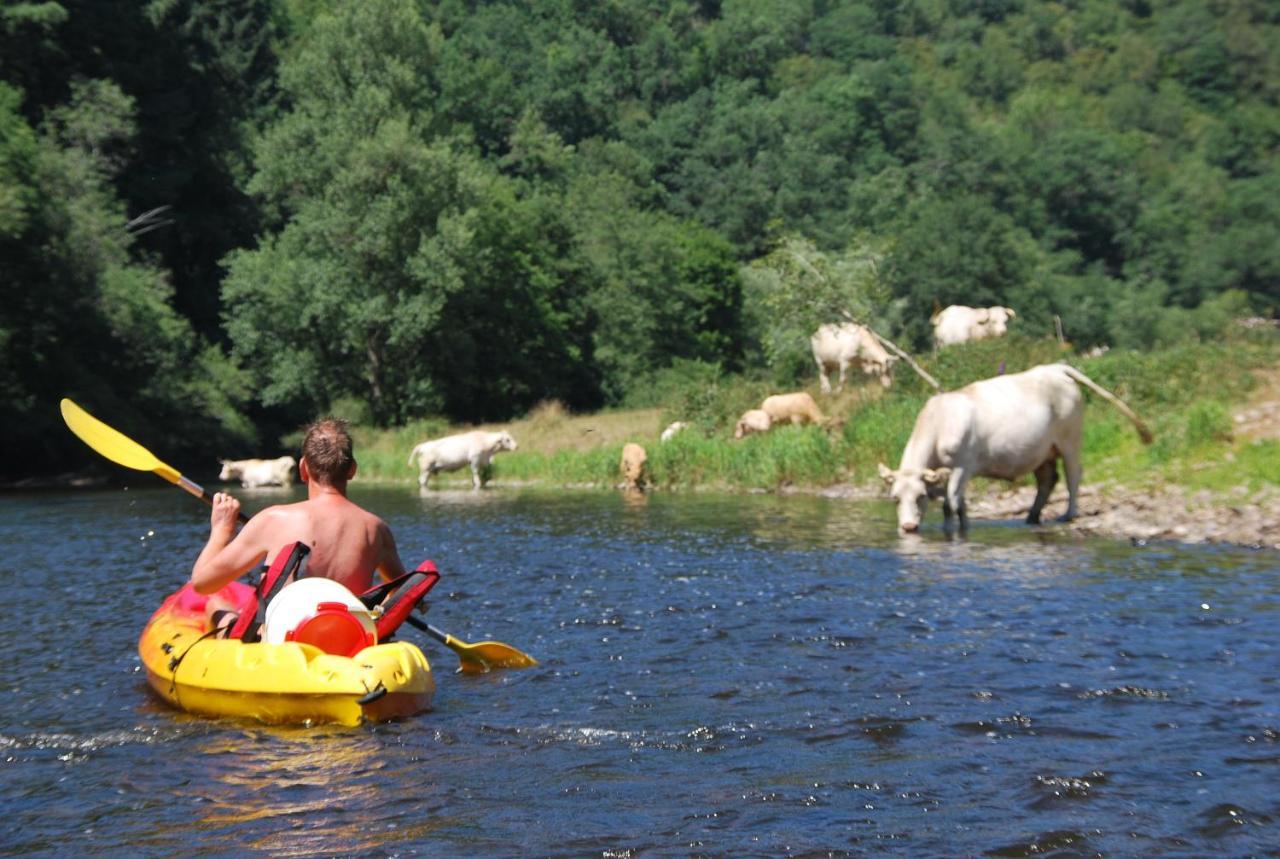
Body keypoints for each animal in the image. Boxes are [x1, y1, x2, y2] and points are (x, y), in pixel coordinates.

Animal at [875, 363, 1157, 529]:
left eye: (921, 496)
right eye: (895, 498)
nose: (908, 527)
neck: (939, 421)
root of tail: (1057, 367)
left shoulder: (963, 465)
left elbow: (949, 505)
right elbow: (959, 504)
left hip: (1070, 439)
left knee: (1073, 475)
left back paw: (1068, 514)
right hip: (1043, 450)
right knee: (1048, 480)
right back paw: (1031, 517)